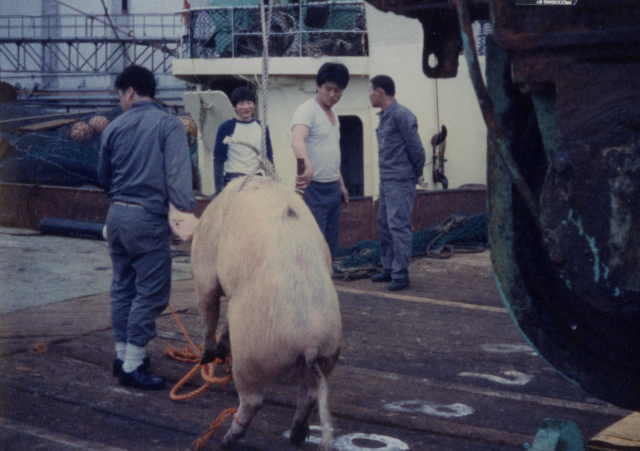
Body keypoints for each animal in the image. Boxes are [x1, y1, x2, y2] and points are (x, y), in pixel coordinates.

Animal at [191, 175, 342, 450]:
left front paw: (205, 358)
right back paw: (296, 436)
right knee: (310, 396)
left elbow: (208, 307)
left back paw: (225, 440)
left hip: (251, 359)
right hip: (328, 356)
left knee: (252, 401)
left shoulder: (204, 266)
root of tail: (311, 343)